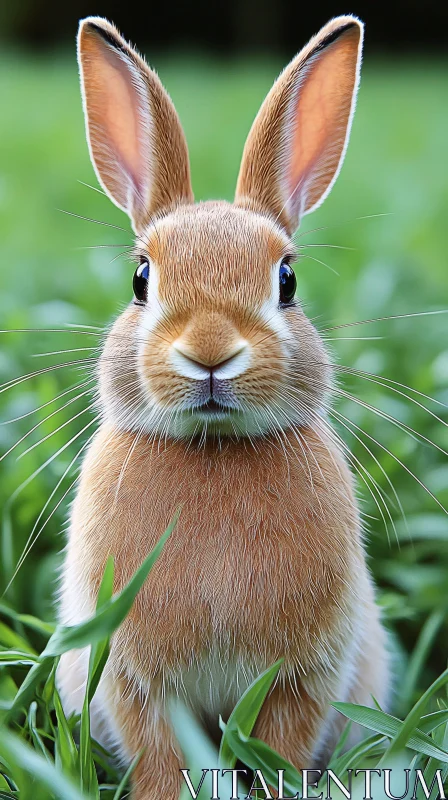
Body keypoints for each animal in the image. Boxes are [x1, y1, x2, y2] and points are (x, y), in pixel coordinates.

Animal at [58, 14, 388, 800]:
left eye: (287, 279)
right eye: (141, 278)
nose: (210, 353)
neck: (213, 448)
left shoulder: (306, 674)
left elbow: (282, 744)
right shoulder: (131, 678)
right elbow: (158, 755)